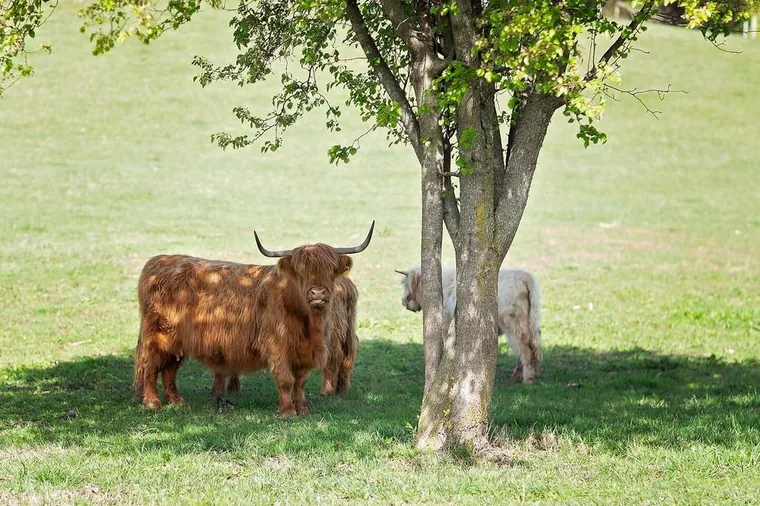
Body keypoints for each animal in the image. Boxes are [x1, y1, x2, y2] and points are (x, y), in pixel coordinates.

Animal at [218, 275, 359, 398]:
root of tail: (346, 284)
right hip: (348, 328)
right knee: (348, 355)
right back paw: (342, 389)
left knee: (335, 356)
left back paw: (327, 391)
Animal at [397, 265, 543, 384]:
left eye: (406, 285)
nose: (403, 301)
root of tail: (523, 275)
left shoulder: (446, 324)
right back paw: (518, 376)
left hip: (514, 325)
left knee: (525, 349)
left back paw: (527, 379)